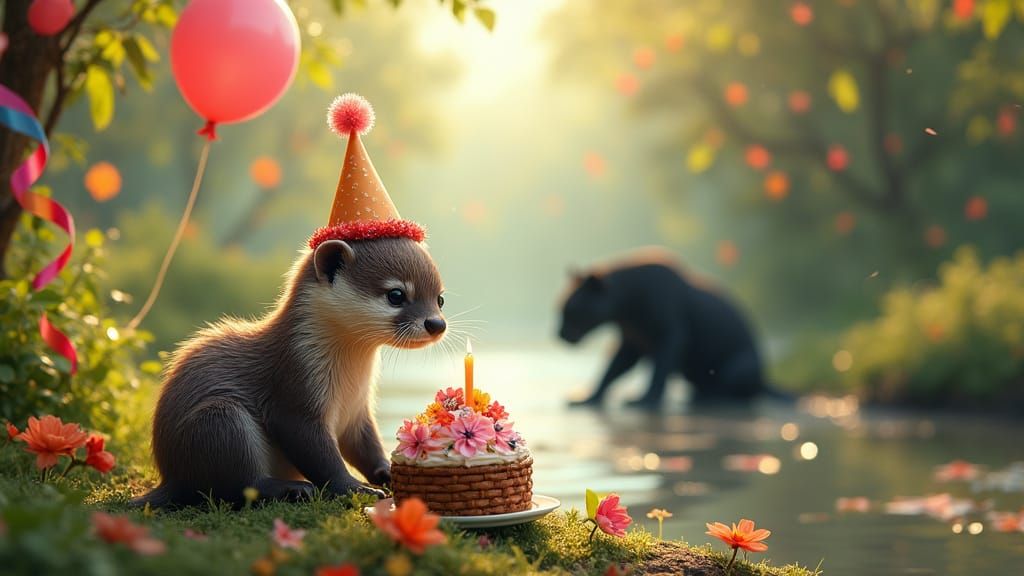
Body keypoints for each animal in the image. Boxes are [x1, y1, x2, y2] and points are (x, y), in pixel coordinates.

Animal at [134, 237, 446, 507]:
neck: (348, 382)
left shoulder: (358, 411)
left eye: (440, 298)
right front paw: (356, 488)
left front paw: (387, 473)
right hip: (220, 420)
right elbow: (320, 456)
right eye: (396, 295)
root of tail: (171, 474)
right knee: (241, 484)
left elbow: (366, 446)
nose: (436, 324)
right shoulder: (295, 394)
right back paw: (293, 489)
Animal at [558, 250, 766, 409]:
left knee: (733, 392)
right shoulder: (630, 346)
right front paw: (590, 398)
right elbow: (610, 372)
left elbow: (660, 370)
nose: (559, 334)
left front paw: (646, 400)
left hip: (741, 366)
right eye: (560, 308)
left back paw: (707, 397)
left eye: (571, 310)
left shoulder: (672, 336)